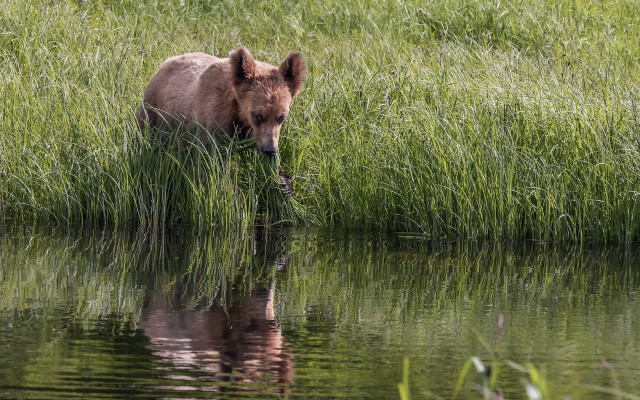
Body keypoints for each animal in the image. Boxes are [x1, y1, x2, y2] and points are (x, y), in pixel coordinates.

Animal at [135, 47, 306, 154]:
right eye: (258, 115)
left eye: (281, 117)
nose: (270, 149)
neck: (238, 112)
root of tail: (165, 62)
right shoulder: (212, 120)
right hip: (155, 110)